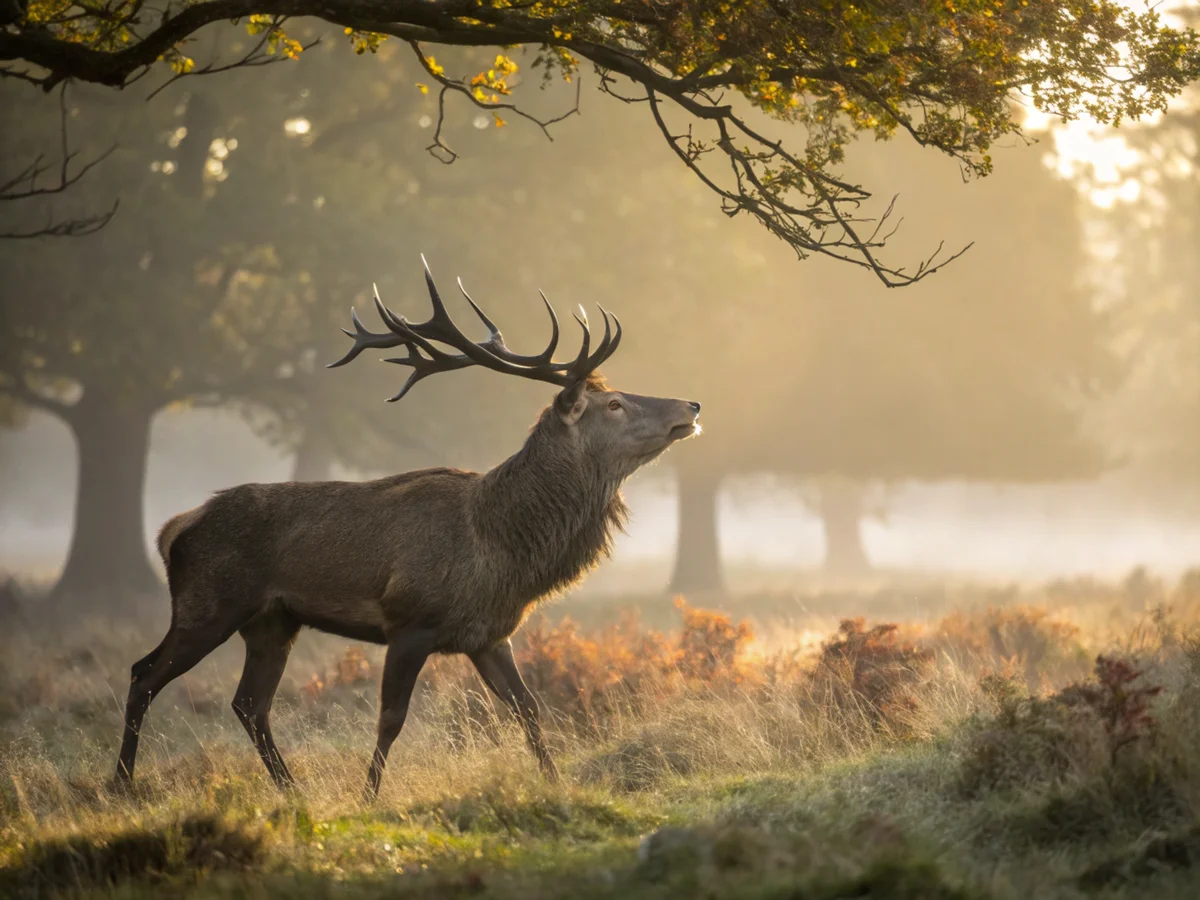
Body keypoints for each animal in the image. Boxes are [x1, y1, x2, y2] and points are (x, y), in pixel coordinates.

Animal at [113, 257, 701, 801]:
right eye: (614, 403)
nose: (692, 403)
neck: (501, 548)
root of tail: (175, 529)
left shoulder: (490, 634)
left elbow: (529, 709)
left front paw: (555, 783)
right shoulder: (410, 622)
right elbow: (391, 720)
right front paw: (368, 797)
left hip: (272, 621)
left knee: (249, 704)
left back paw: (291, 789)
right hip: (209, 604)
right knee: (145, 675)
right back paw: (121, 783)